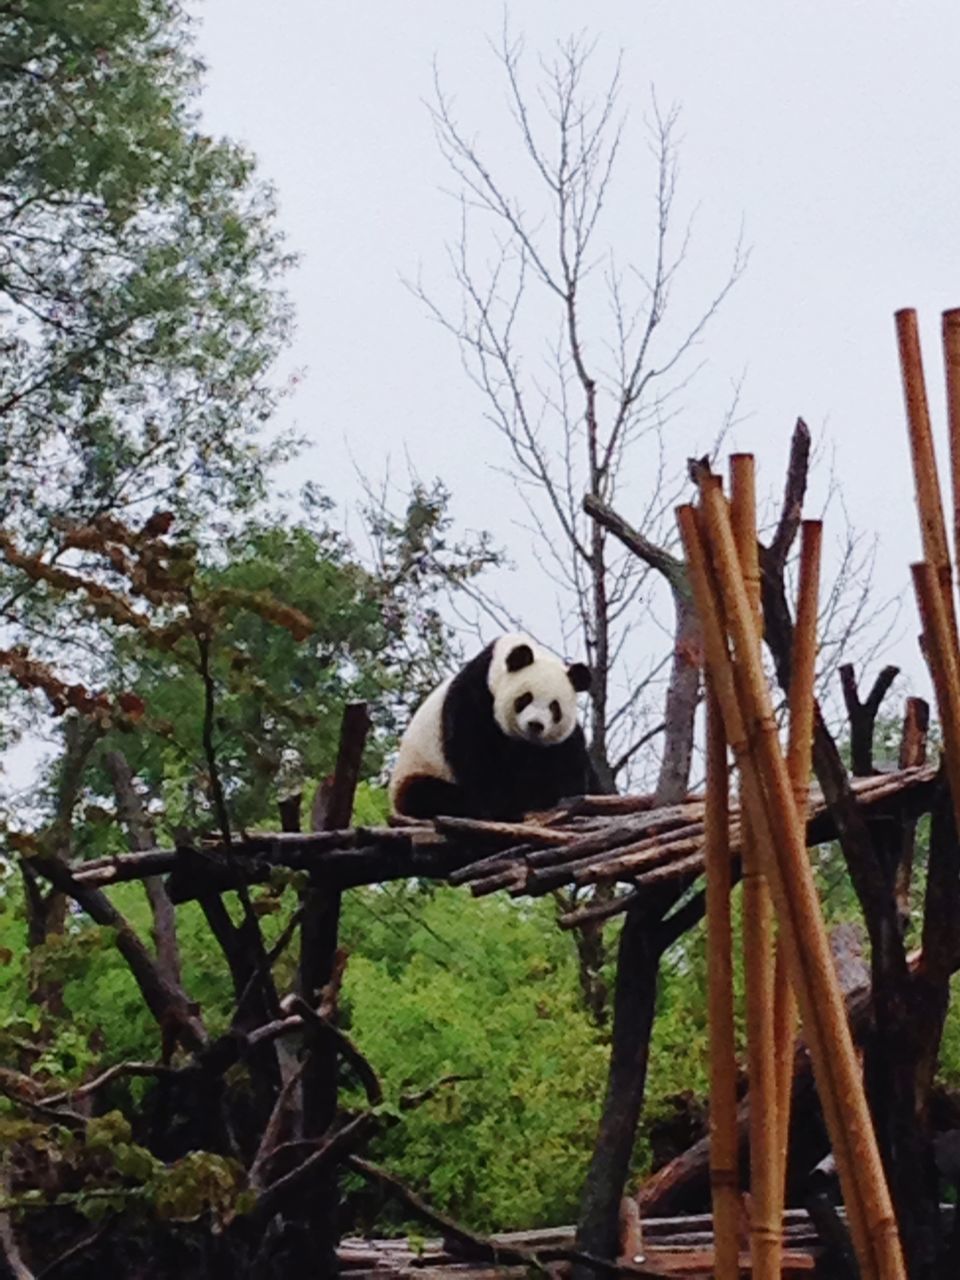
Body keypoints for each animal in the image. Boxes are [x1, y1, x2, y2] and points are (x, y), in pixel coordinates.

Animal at [386, 629, 599, 819]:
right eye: (525, 698)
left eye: (555, 707)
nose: (535, 724)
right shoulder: (475, 698)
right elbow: (477, 755)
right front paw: (508, 804)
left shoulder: (560, 743)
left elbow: (567, 764)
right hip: (417, 772)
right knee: (422, 794)